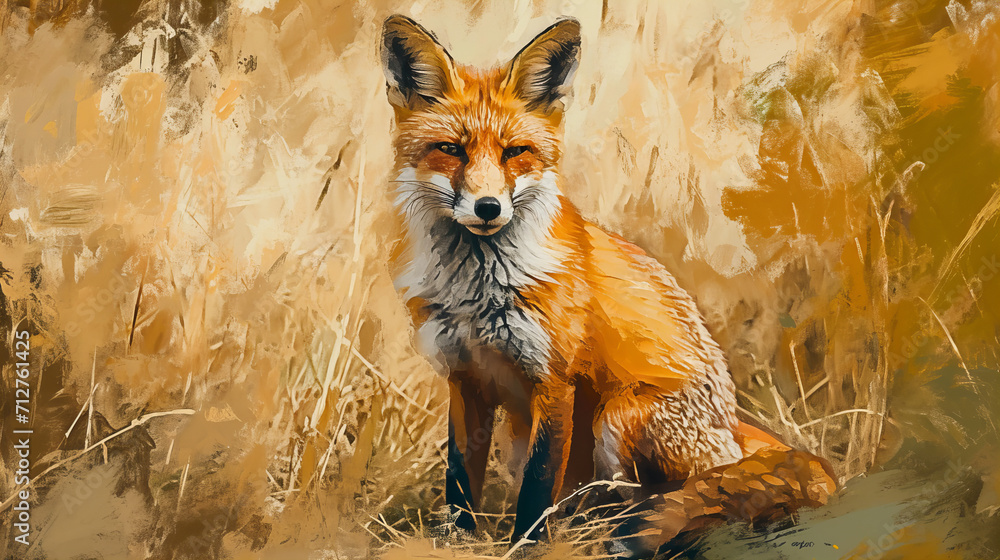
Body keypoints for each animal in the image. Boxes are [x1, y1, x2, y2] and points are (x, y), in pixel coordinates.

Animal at [379, 14, 836, 544]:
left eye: (516, 152)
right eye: (450, 150)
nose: (489, 208)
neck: (475, 291)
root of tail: (734, 428)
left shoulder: (554, 382)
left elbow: (537, 489)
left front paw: (527, 548)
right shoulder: (464, 379)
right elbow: (458, 479)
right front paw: (459, 541)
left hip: (618, 420)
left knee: (679, 496)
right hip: (524, 435)